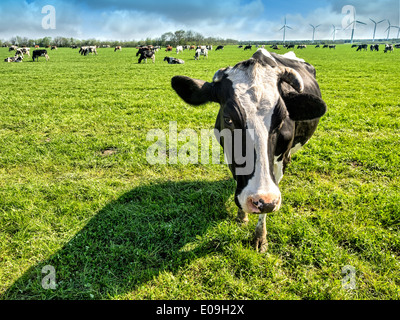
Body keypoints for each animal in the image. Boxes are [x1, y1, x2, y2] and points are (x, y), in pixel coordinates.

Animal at [170, 47, 326, 252]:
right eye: (228, 119)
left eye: (282, 119)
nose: (261, 199)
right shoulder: (230, 155)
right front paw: (241, 215)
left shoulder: (280, 163)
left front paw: (260, 236)